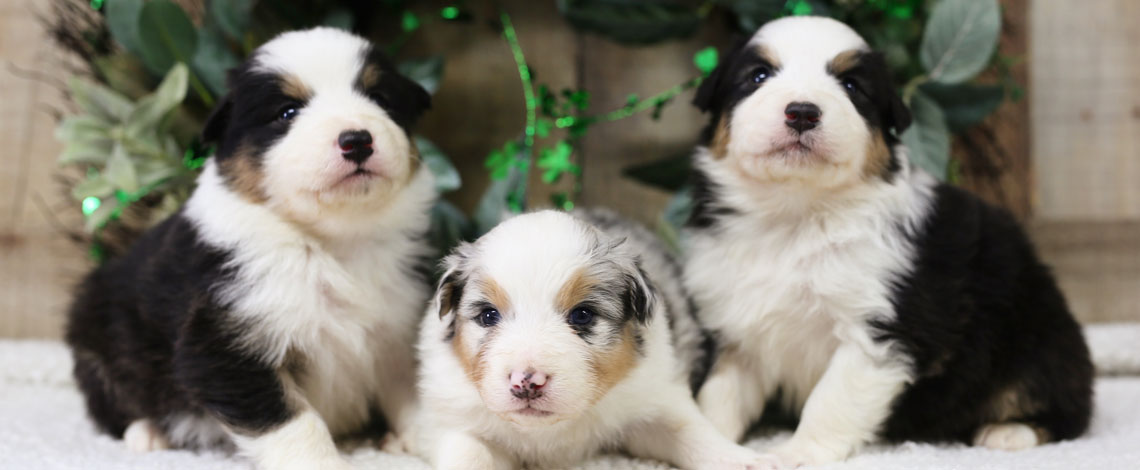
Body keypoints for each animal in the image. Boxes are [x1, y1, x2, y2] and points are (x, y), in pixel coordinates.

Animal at [65, 26, 435, 470]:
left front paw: (425, 442)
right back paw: (149, 432)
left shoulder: (398, 326)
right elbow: (292, 422)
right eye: (287, 112)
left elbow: (416, 392)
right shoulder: (226, 344)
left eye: (380, 98)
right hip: (96, 336)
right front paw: (321, 462)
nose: (357, 140)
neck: (333, 242)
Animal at [408, 209, 775, 470]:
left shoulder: (655, 397)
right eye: (488, 316)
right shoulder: (452, 420)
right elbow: (469, 454)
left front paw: (749, 461)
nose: (527, 382)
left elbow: (693, 434)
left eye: (582, 315)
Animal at [684, 16, 1094, 467]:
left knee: (1062, 406)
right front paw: (709, 444)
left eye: (851, 85)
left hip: (1036, 338)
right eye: (758, 76)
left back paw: (1009, 431)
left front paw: (796, 453)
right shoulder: (739, 329)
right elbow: (719, 395)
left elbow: (830, 399)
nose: (803, 112)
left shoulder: (881, 327)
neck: (795, 215)